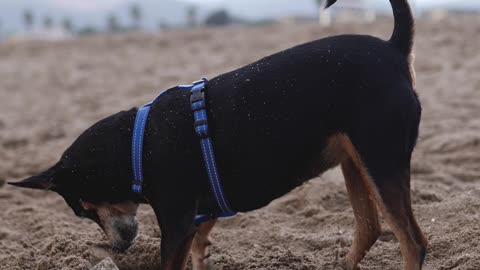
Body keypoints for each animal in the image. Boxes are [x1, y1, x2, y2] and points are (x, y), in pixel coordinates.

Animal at [9, 0, 428, 270]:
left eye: (83, 209)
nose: (118, 247)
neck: (135, 145)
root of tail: (393, 48)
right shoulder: (200, 215)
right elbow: (199, 252)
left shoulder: (176, 224)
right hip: (355, 160)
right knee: (370, 228)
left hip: (380, 159)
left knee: (413, 243)